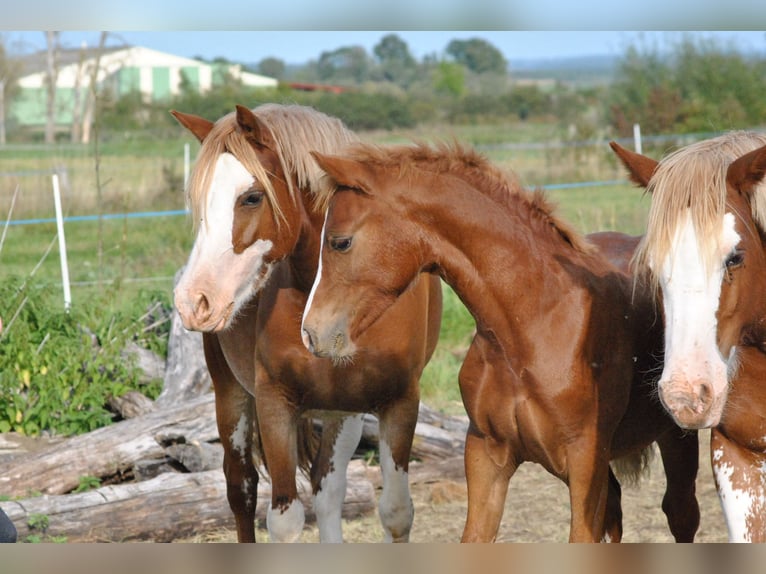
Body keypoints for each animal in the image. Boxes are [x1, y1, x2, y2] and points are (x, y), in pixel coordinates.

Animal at [170, 104, 440, 544]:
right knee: (242, 488)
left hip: (343, 412)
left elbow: (396, 512)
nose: (193, 301)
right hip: (229, 392)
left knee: (327, 490)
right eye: (198, 200)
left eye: (251, 197)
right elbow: (284, 519)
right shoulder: (274, 402)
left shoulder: (399, 401)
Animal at [302, 142, 704, 544]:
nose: (310, 332)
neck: (528, 329)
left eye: (340, 242)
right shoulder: (486, 453)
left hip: (675, 437)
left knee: (680, 513)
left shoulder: (584, 458)